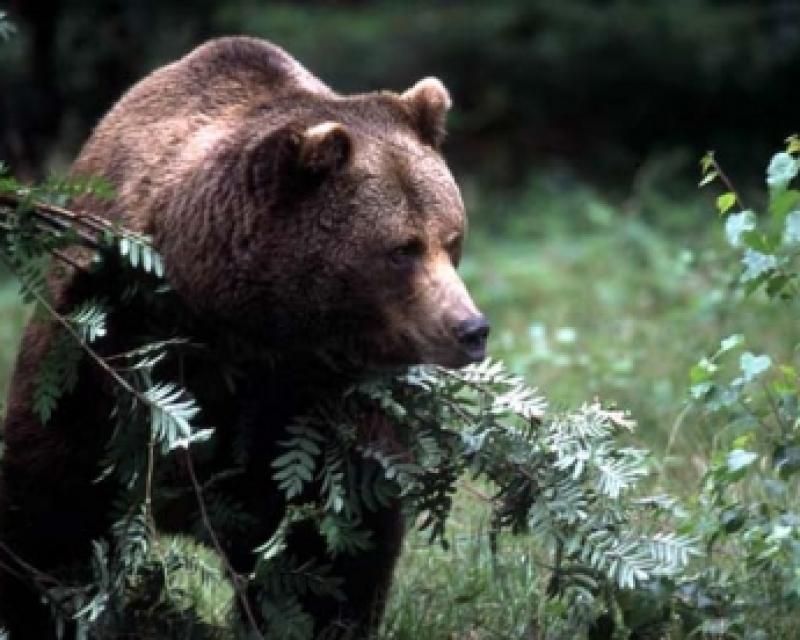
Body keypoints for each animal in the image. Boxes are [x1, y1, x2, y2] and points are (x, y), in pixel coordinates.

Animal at [0, 36, 489, 639]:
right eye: (402, 250)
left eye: (452, 238)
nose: (470, 329)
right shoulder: (102, 345)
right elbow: (53, 503)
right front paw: (40, 604)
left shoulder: (313, 407)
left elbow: (331, 540)